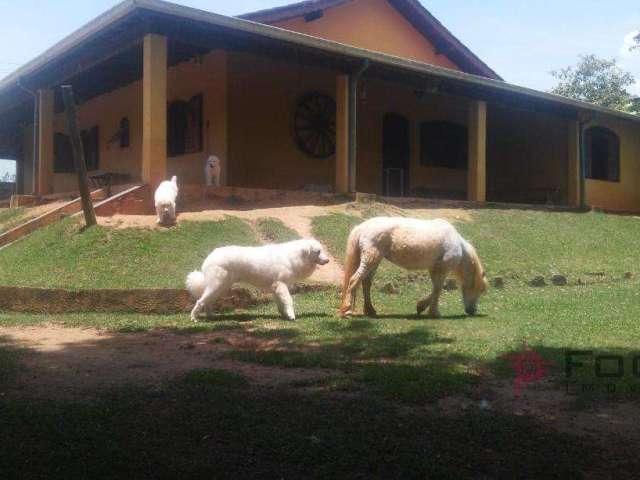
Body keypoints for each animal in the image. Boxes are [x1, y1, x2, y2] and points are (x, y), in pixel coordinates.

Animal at [185, 240, 330, 322]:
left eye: (322, 250)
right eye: (318, 251)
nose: (328, 260)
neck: (294, 256)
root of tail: (210, 256)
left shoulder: (276, 287)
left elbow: (280, 303)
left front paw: (283, 315)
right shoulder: (281, 284)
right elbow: (288, 301)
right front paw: (291, 316)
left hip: (221, 287)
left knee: (207, 302)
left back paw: (211, 316)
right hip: (217, 285)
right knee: (200, 301)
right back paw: (194, 318)